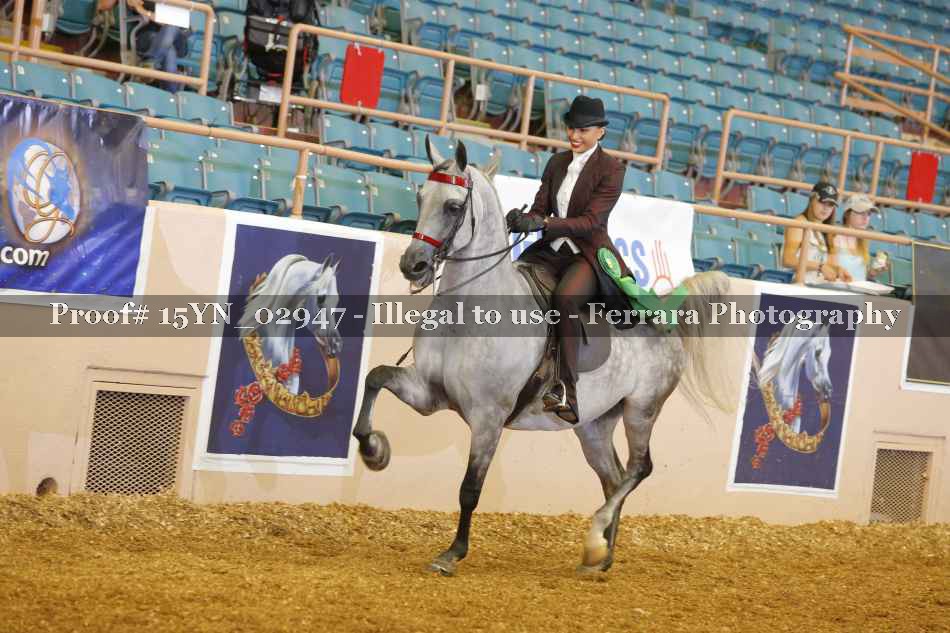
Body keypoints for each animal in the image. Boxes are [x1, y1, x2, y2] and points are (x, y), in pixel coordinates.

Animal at [352, 139, 731, 575]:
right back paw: (599, 557)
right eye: (419, 196)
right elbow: (376, 377)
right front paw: (374, 450)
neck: (471, 312)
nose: (412, 265)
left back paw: (597, 537)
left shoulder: (489, 416)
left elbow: (470, 488)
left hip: (642, 409)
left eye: (452, 206)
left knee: (639, 469)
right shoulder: (430, 393)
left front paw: (452, 554)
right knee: (614, 477)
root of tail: (667, 322)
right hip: (593, 425)